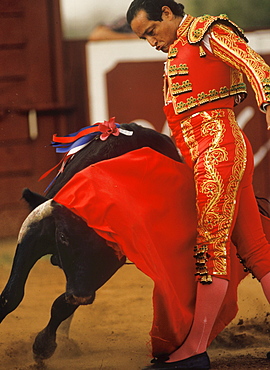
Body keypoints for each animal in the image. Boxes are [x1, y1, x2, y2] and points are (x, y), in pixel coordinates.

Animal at [0, 121, 184, 362]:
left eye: (108, 244)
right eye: (63, 237)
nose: (80, 295)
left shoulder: (110, 263)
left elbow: (61, 305)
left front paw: (43, 345)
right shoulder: (35, 235)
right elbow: (11, 295)